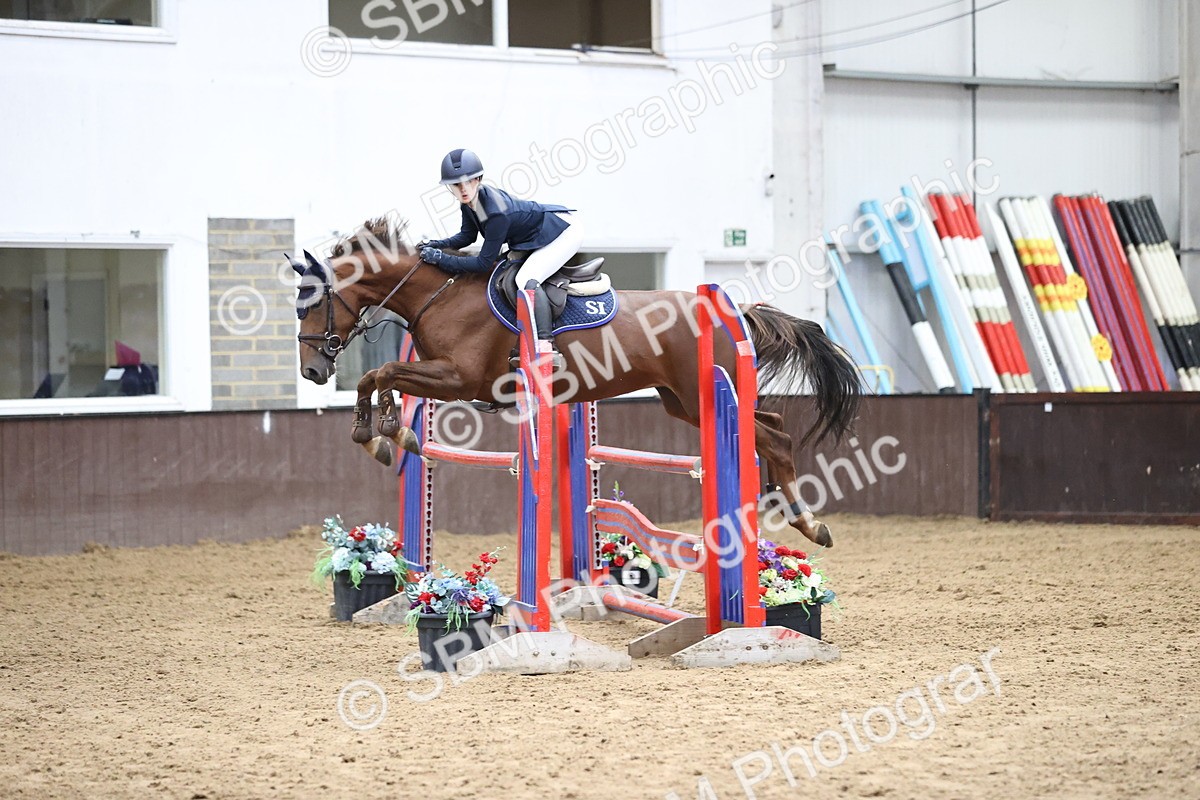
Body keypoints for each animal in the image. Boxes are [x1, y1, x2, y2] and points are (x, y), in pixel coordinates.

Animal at [291, 217, 862, 548]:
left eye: (312, 303)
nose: (312, 372)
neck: (442, 293)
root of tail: (734, 309)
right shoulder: (443, 375)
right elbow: (374, 376)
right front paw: (378, 436)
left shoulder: (459, 379)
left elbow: (383, 371)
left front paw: (389, 430)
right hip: (683, 402)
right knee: (771, 424)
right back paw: (784, 506)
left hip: (700, 393)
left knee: (776, 438)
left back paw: (808, 522)